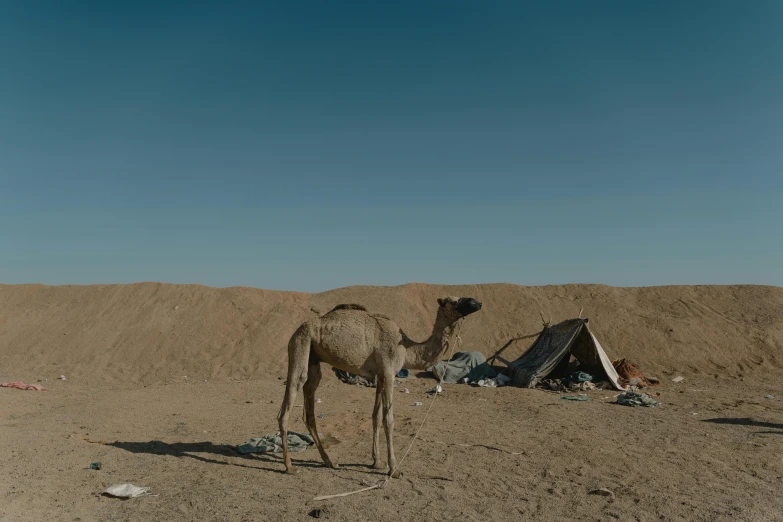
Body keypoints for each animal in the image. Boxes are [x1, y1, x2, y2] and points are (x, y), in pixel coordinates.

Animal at [276, 294, 484, 474]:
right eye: (452, 301)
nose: (477, 303)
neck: (407, 349)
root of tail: (296, 330)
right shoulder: (389, 372)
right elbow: (388, 419)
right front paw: (394, 468)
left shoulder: (380, 376)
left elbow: (375, 416)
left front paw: (376, 462)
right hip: (300, 343)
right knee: (287, 406)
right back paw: (289, 466)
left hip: (313, 359)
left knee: (309, 410)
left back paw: (329, 461)